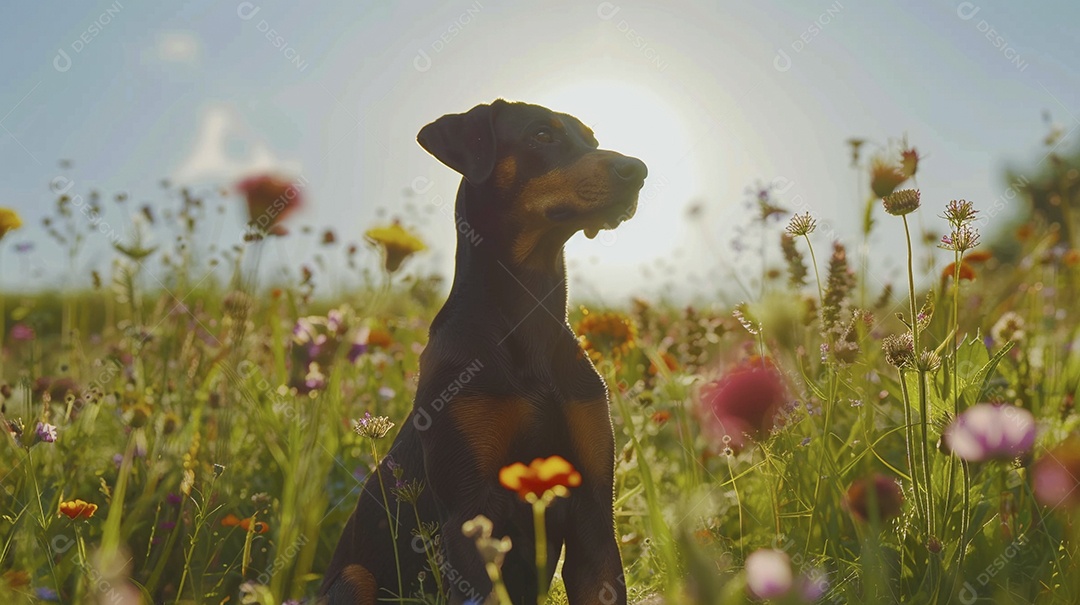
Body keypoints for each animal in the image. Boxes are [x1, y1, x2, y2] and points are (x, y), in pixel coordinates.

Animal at [315, 99, 643, 605]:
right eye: (541, 134)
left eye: (591, 138)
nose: (639, 170)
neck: (528, 314)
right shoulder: (470, 512)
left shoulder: (594, 513)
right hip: (353, 578)